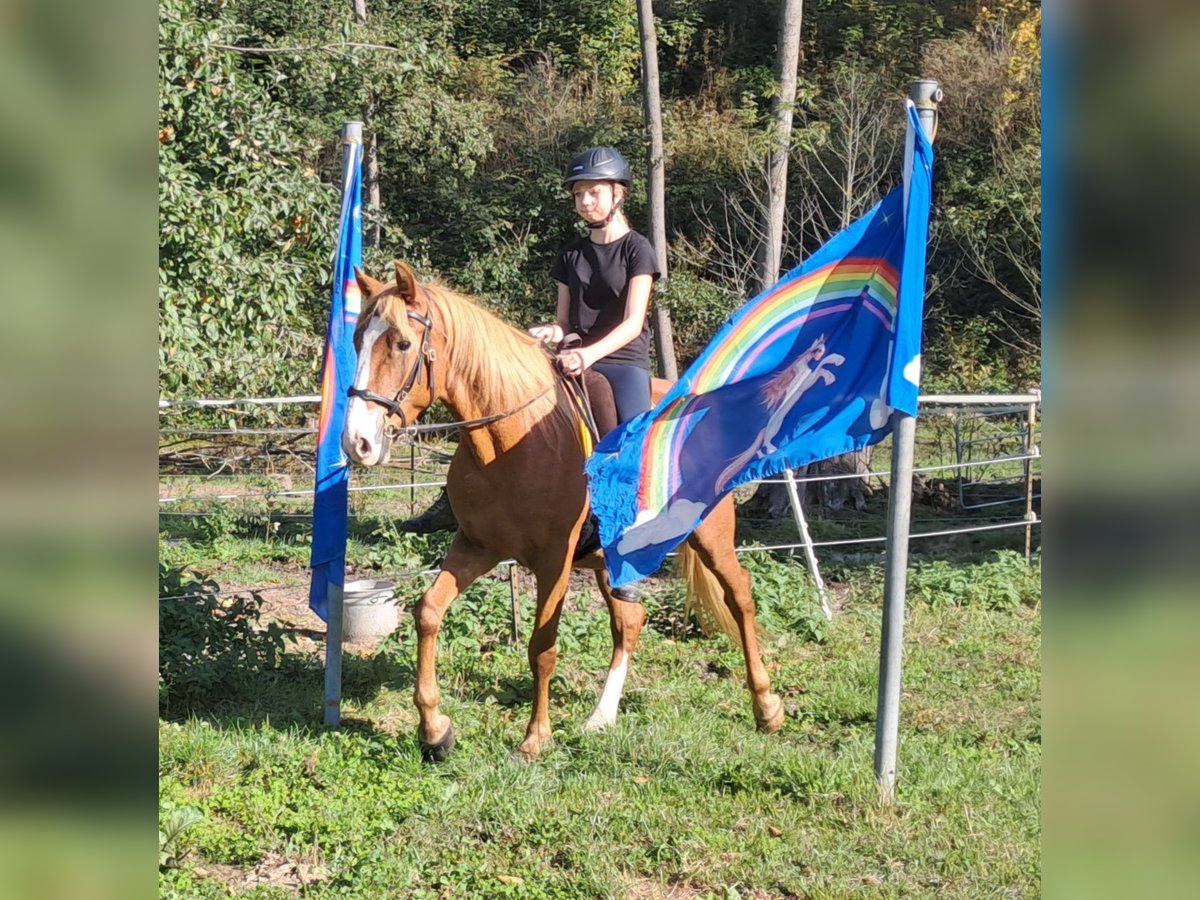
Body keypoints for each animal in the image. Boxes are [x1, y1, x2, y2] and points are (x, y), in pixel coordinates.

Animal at [340, 262, 787, 763]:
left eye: (401, 343)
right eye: (357, 340)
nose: (357, 442)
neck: (511, 440)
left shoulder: (554, 560)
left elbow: (542, 646)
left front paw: (536, 737)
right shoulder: (476, 547)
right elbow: (428, 613)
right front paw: (435, 731)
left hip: (711, 535)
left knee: (740, 597)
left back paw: (767, 707)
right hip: (610, 560)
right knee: (628, 621)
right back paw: (601, 717)